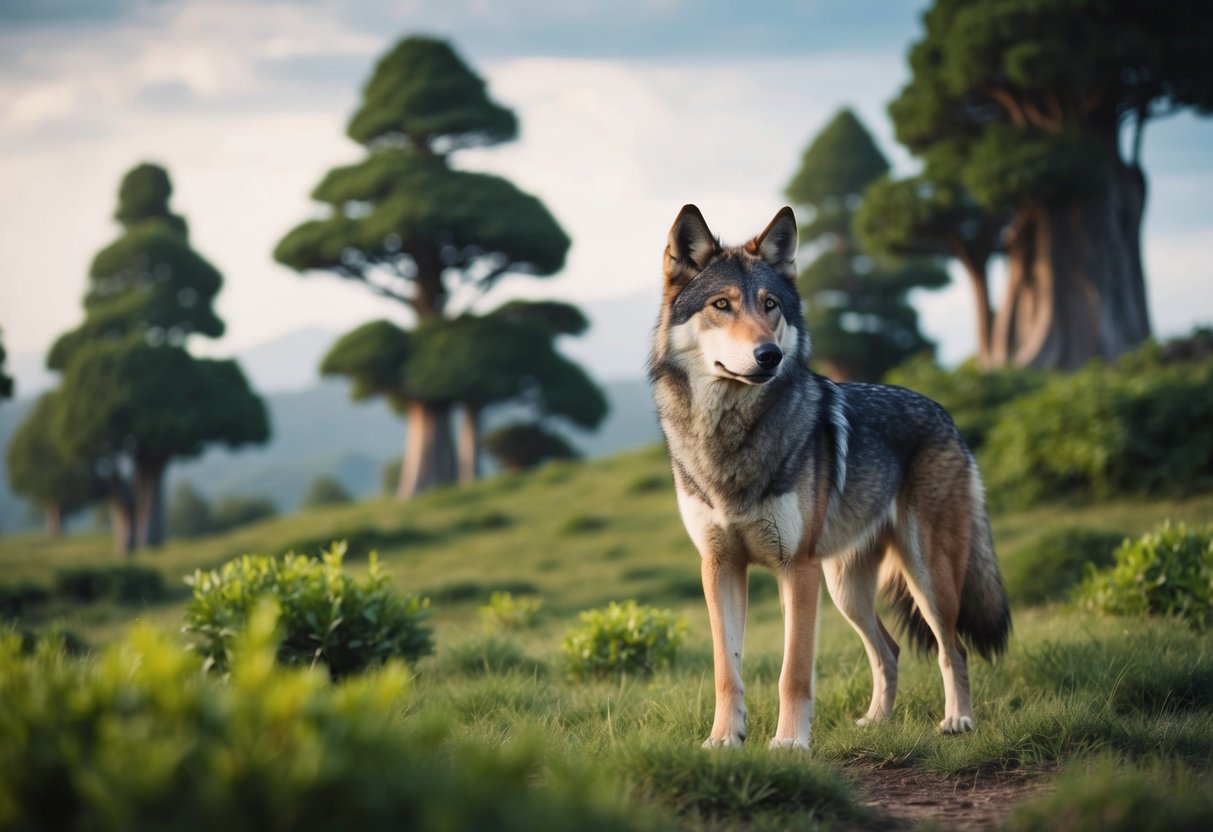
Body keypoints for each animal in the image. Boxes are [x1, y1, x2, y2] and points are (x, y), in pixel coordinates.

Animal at [648, 204, 1011, 751]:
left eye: (771, 305)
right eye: (721, 305)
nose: (769, 356)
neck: (731, 440)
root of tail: (945, 415)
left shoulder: (797, 569)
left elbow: (793, 672)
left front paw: (790, 744)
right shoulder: (720, 566)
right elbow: (726, 670)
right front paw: (724, 740)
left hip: (924, 578)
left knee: (954, 649)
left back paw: (958, 721)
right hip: (845, 589)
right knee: (889, 650)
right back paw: (877, 721)